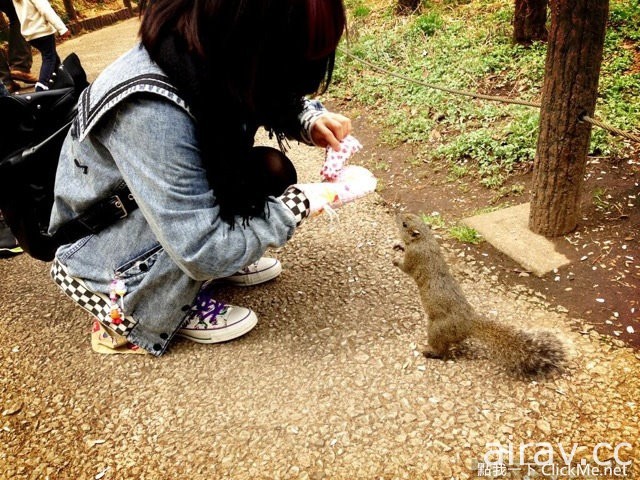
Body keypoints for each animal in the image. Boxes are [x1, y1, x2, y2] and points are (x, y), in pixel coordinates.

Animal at [390, 212, 564, 376]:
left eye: (404, 224)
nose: (397, 213)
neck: (425, 239)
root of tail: (468, 323)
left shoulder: (414, 257)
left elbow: (406, 268)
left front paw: (395, 260)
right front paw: (399, 245)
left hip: (437, 329)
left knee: (443, 351)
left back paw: (430, 353)